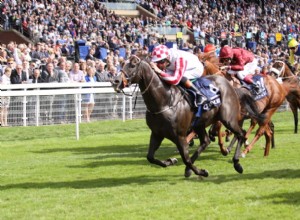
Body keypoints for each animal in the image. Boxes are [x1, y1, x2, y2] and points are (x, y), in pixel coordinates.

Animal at [110, 55, 262, 177]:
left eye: (132, 65)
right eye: (122, 64)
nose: (115, 81)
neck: (165, 102)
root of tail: (230, 85)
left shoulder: (180, 135)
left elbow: (186, 159)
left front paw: (202, 172)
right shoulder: (157, 133)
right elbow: (150, 157)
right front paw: (170, 161)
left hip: (228, 119)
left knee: (241, 133)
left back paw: (237, 163)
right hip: (200, 123)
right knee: (206, 141)